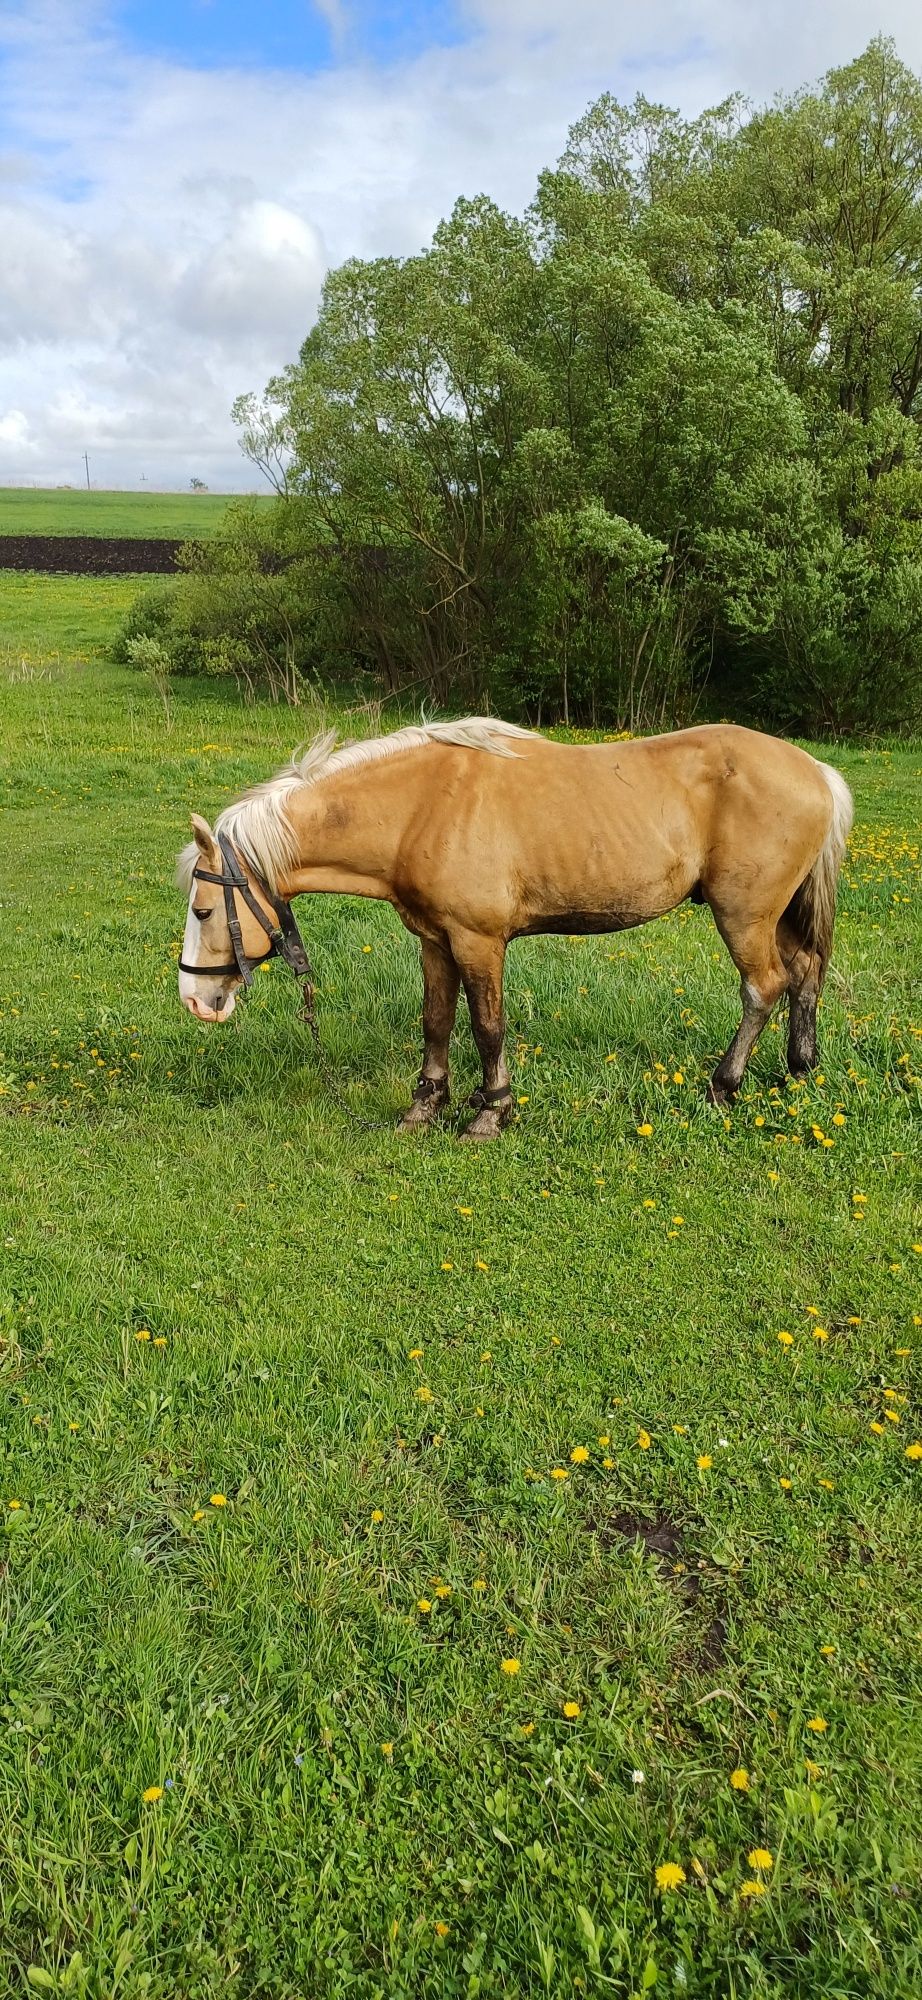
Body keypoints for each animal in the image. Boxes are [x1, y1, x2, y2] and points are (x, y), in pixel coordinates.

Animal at [176, 716, 852, 1144]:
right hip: (779, 915)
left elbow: (486, 1026)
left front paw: (490, 1115)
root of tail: (817, 770)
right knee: (803, 975)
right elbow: (436, 1021)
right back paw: (799, 1070)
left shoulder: (478, 941)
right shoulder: (435, 941)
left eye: (203, 911)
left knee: (763, 987)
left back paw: (723, 1087)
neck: (423, 806)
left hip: (744, 916)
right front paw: (425, 1108)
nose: (195, 1000)